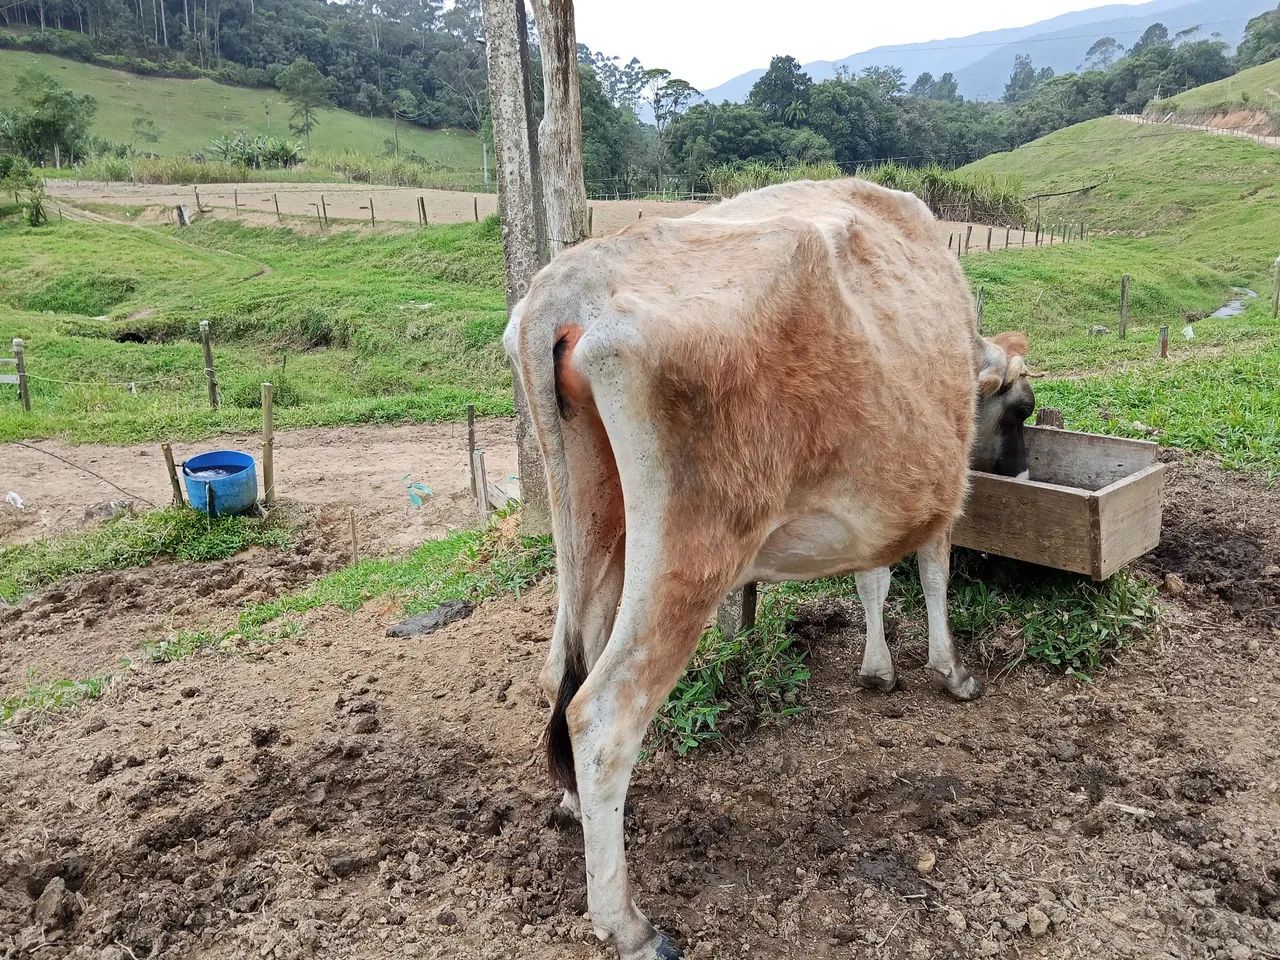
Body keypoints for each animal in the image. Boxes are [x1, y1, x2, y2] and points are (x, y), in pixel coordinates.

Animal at [504, 178, 1034, 960]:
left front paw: (878, 669)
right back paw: (627, 923)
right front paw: (951, 672)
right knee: (601, 716)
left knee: (560, 675)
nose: (1024, 468)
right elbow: (932, 575)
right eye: (1022, 409)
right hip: (692, 552)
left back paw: (573, 810)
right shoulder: (940, 492)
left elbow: (872, 577)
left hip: (595, 527)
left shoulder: (871, 507)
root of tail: (573, 279)